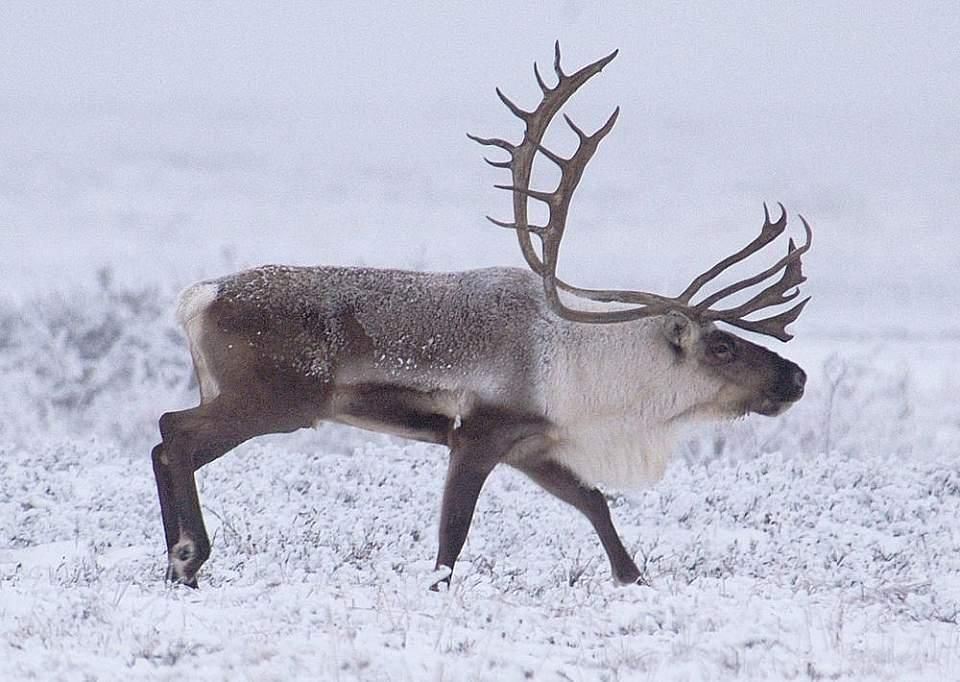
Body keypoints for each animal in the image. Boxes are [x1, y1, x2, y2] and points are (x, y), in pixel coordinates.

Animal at [151, 44, 812, 589]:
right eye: (721, 346)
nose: (798, 377)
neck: (587, 369)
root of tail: (199, 296)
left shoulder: (532, 446)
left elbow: (595, 503)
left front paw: (634, 581)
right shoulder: (479, 433)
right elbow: (454, 532)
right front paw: (437, 591)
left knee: (164, 443)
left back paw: (179, 565)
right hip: (273, 403)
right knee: (173, 430)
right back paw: (188, 556)